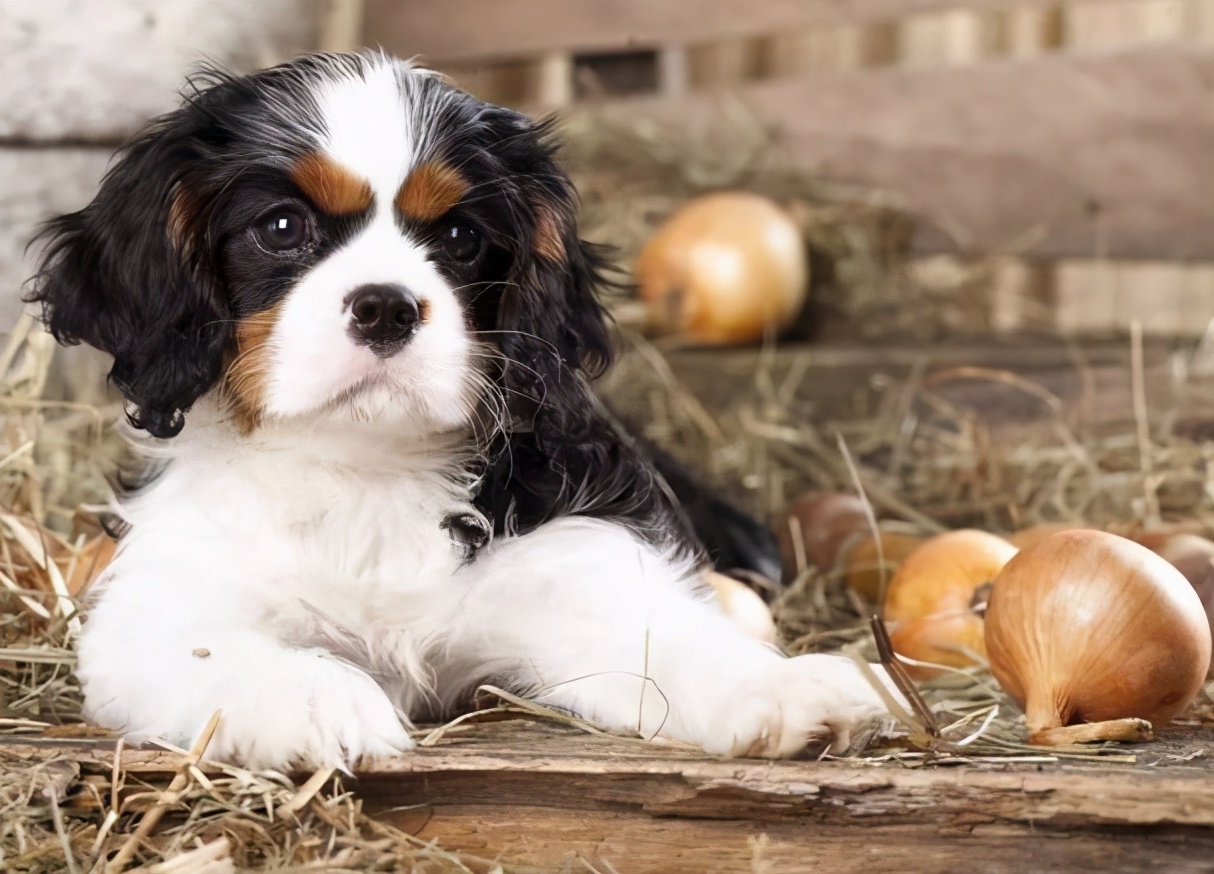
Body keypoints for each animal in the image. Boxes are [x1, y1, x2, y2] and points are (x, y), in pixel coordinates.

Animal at [33, 51, 898, 767]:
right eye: (280, 227)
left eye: (458, 235)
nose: (385, 307)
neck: (369, 466)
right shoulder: (162, 606)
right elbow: (208, 650)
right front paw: (314, 699)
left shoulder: (575, 561)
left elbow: (671, 641)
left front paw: (785, 689)